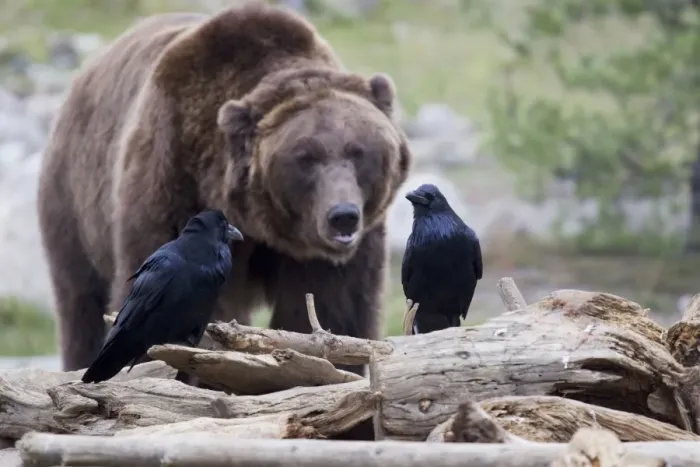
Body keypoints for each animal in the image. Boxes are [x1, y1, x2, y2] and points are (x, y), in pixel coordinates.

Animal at [36, 2, 412, 377]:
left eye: (358, 151)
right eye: (306, 158)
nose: (343, 216)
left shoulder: (331, 257)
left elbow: (330, 308)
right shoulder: (175, 183)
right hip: (74, 202)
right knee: (80, 302)